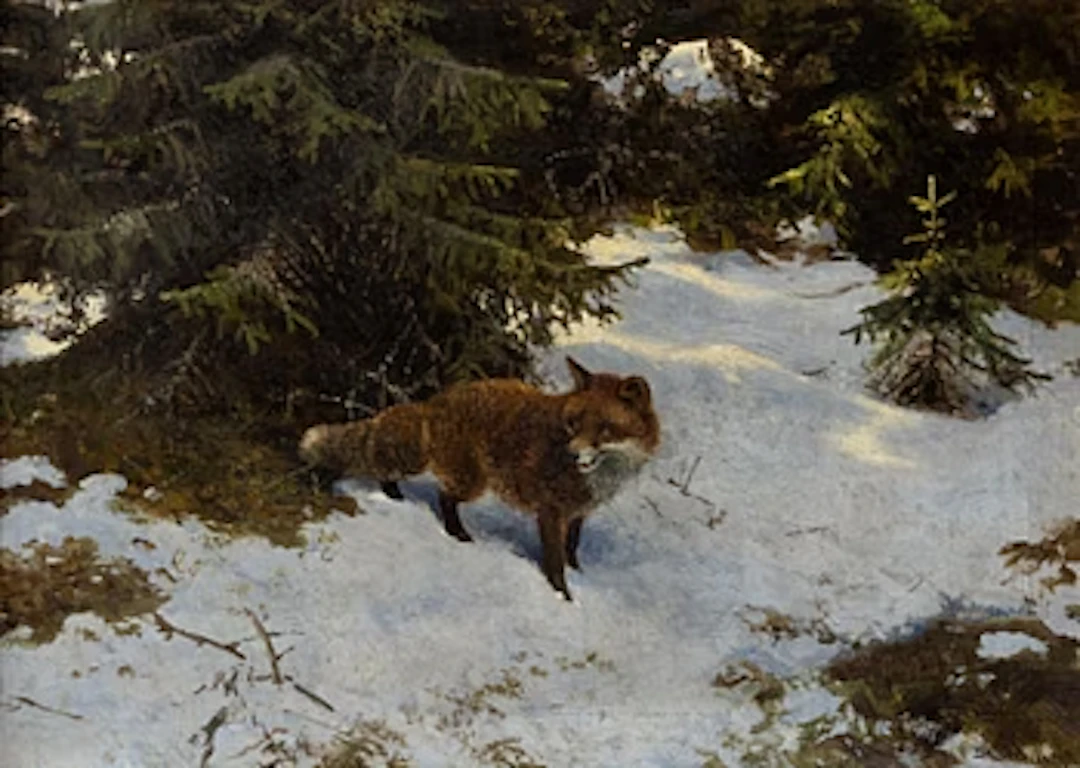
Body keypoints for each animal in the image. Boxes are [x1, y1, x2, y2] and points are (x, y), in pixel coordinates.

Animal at [298, 356, 660, 600]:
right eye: (574, 423)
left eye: (604, 429)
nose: (572, 454)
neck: (601, 476)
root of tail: (437, 401)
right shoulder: (551, 511)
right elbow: (555, 563)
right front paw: (563, 598)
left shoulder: (579, 513)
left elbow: (572, 549)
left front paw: (579, 574)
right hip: (471, 482)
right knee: (442, 496)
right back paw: (455, 533)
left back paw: (395, 497)